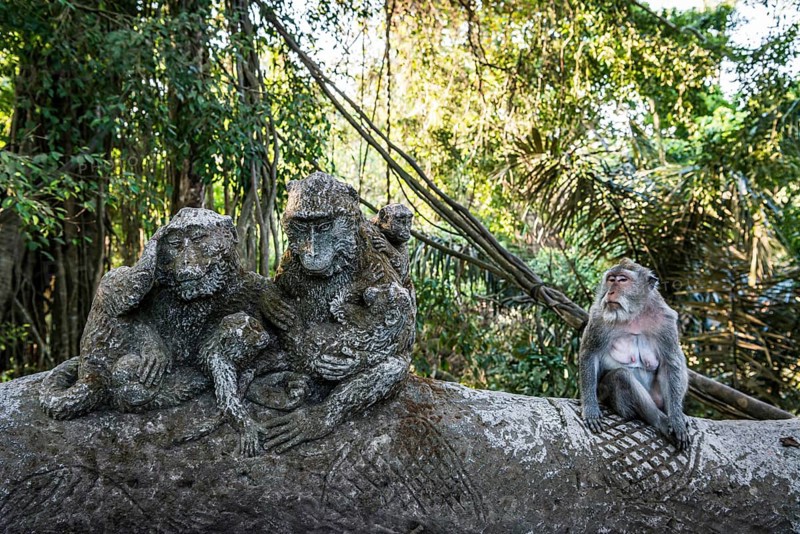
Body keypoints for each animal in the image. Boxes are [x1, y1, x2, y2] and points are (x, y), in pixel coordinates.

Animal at [579, 258, 690, 450]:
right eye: (610, 279)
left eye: (622, 280)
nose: (610, 291)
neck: (634, 314)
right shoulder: (599, 318)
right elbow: (590, 355)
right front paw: (591, 408)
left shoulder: (666, 321)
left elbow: (671, 363)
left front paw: (676, 419)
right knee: (621, 376)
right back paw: (660, 420)